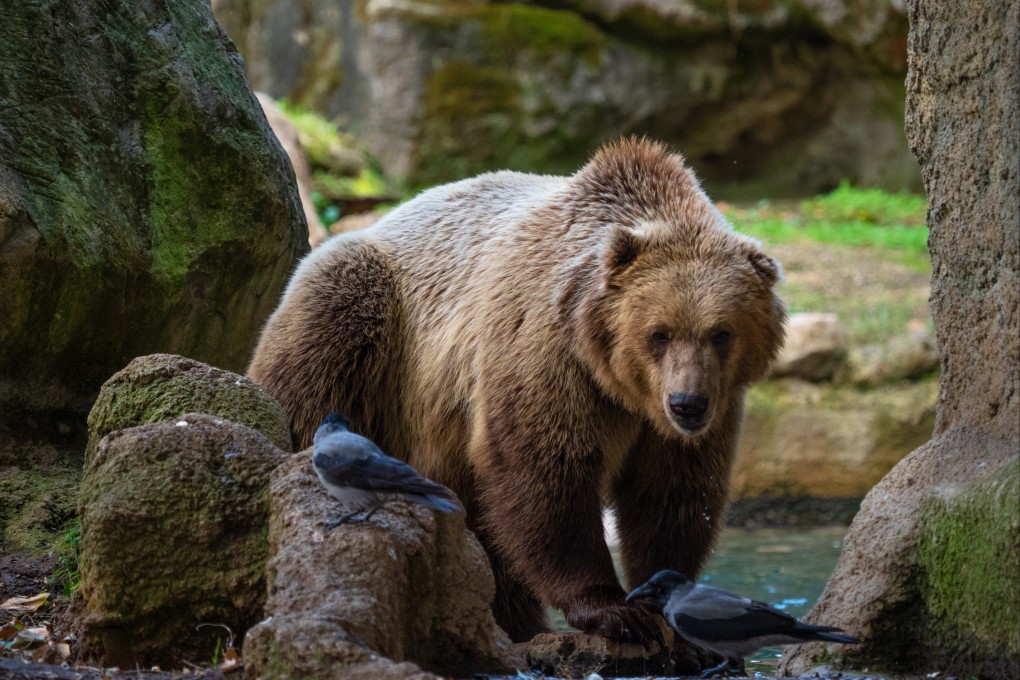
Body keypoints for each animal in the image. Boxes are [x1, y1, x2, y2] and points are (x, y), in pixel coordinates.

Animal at [248, 138, 786, 651]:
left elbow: (671, 492)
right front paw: (613, 611)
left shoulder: (701, 411)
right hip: (375, 329)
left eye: (721, 333)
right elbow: (545, 468)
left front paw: (677, 620)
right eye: (659, 333)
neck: (618, 382)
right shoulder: (546, 347)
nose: (687, 404)